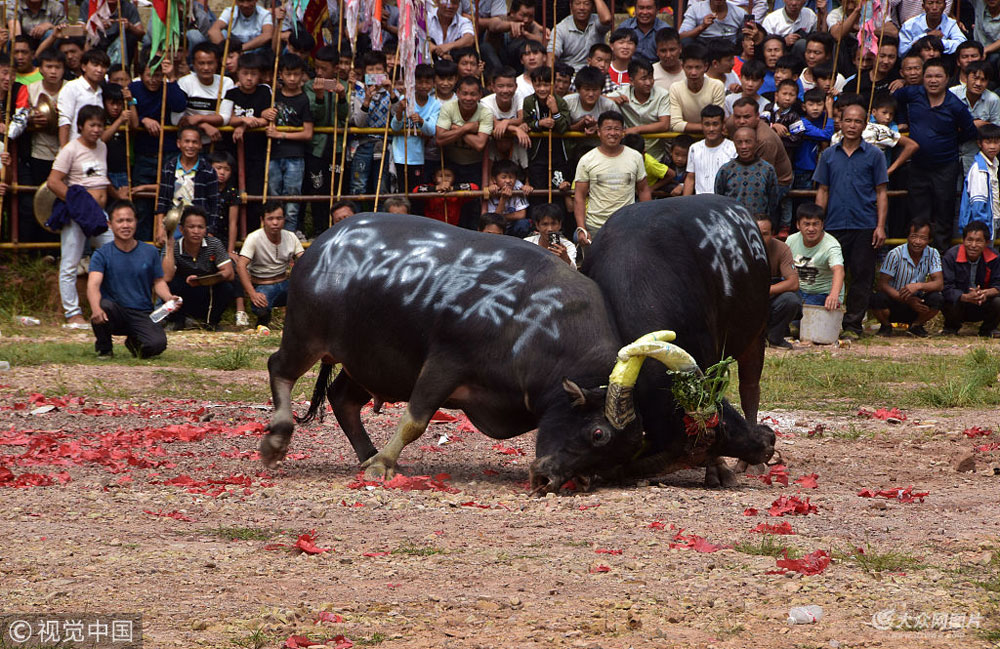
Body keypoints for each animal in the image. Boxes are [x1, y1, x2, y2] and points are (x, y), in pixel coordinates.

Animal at [266, 213, 704, 492]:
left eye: (622, 453)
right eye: (599, 433)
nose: (550, 482)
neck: (534, 323)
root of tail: (322, 244)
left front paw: (381, 461)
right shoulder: (444, 363)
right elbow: (415, 421)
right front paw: (385, 463)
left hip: (369, 362)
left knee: (341, 398)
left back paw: (367, 455)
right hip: (305, 334)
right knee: (280, 368)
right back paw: (277, 440)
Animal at [584, 197, 776, 486]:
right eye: (722, 430)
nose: (768, 442)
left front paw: (720, 471)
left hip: (756, 330)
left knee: (750, 389)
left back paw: (750, 465)